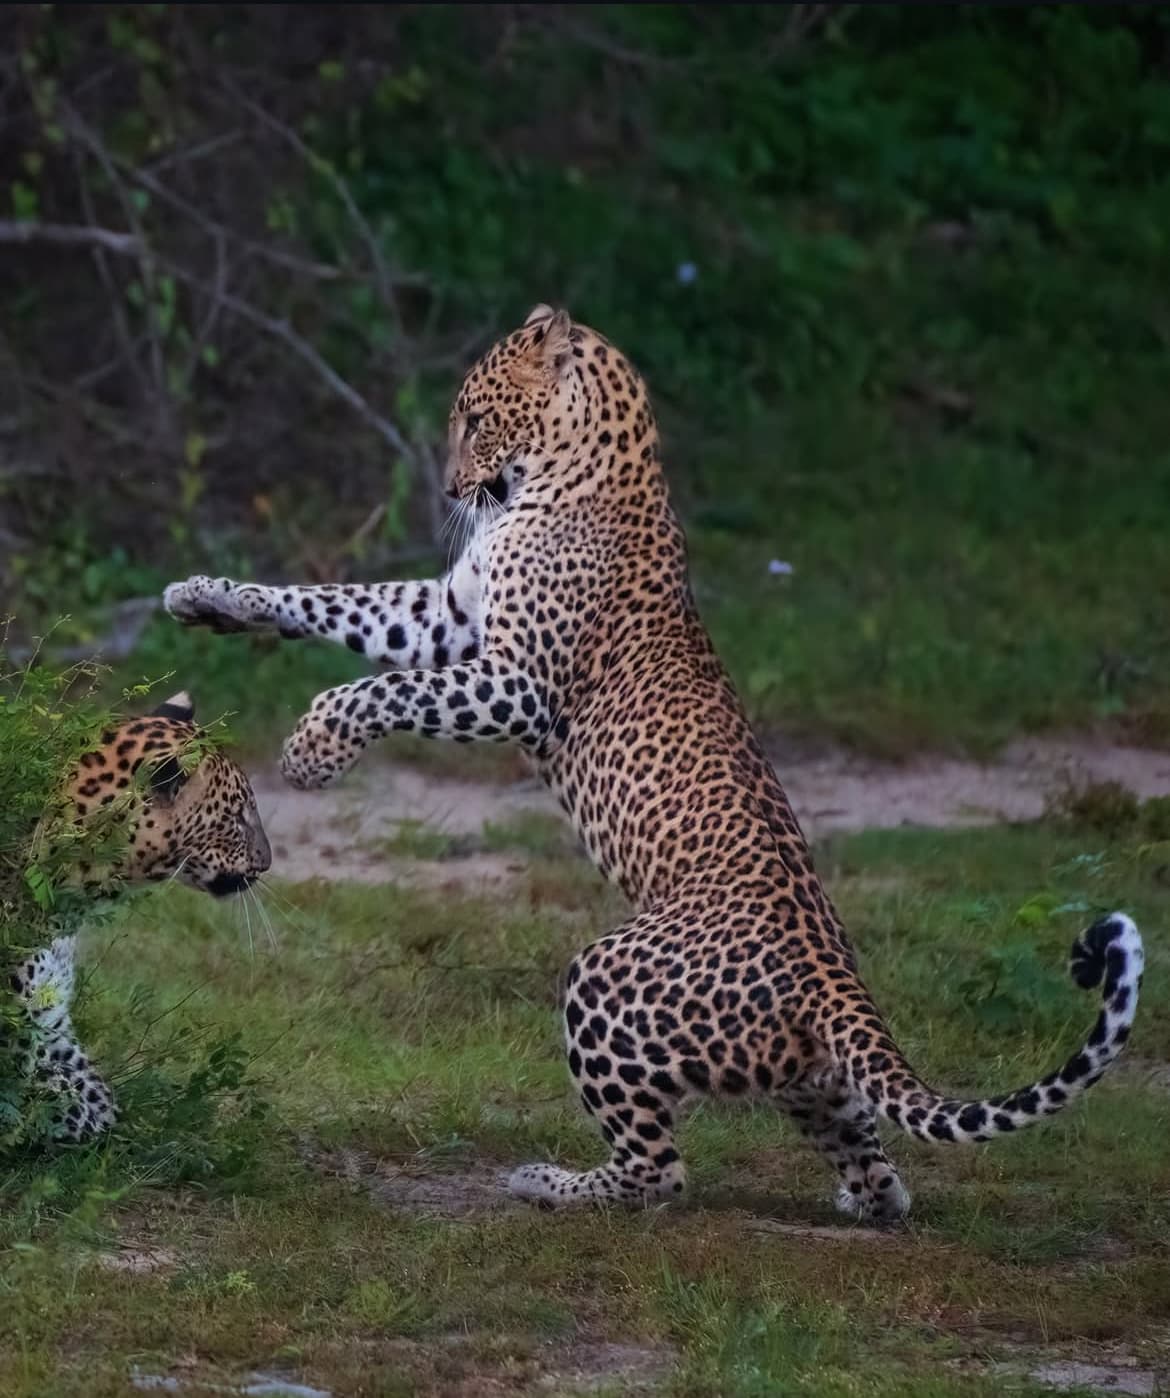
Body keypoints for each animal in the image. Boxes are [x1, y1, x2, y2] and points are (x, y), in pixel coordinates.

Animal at [6, 690, 271, 1144]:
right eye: (236, 817)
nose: (268, 862)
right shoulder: (18, 1030)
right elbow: (69, 1108)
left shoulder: (51, 1023)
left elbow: (97, 1095)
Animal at [163, 305, 1144, 1222]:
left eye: (475, 419)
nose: (448, 486)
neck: (580, 465)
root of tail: (835, 977)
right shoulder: (448, 614)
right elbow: (333, 601)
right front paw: (207, 596)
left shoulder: (514, 683)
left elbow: (381, 689)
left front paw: (312, 749)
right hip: (807, 1078)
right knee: (878, 1175)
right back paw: (854, 1197)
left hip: (602, 981)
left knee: (661, 1171)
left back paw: (552, 1184)